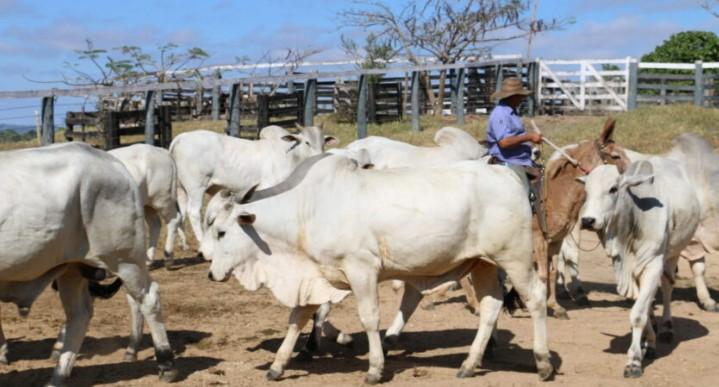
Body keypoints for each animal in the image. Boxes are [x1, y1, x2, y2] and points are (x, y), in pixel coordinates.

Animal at [0, 143, 177, 387]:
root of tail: (112, 162)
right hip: (72, 268)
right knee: (79, 314)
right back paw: (58, 374)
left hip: (125, 259)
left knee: (148, 298)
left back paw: (165, 362)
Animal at [169, 126, 338, 244]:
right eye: (307, 142)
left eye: (324, 142)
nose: (320, 157)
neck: (290, 155)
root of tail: (181, 138)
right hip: (196, 188)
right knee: (193, 212)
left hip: (180, 188)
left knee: (180, 213)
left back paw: (183, 243)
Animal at [202, 153, 552, 384]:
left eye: (221, 231)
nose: (210, 273)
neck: (306, 208)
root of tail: (510, 175)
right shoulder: (315, 276)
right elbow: (296, 319)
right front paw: (278, 365)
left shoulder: (362, 270)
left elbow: (369, 319)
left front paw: (374, 368)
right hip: (482, 263)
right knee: (491, 306)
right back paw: (469, 363)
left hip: (514, 257)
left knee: (536, 298)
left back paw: (544, 363)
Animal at [580, 158, 704, 378]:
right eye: (586, 191)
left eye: (613, 189)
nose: (587, 220)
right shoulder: (626, 270)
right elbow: (643, 310)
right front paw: (648, 344)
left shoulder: (653, 264)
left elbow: (638, 315)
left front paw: (634, 362)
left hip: (673, 253)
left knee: (667, 286)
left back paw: (667, 327)